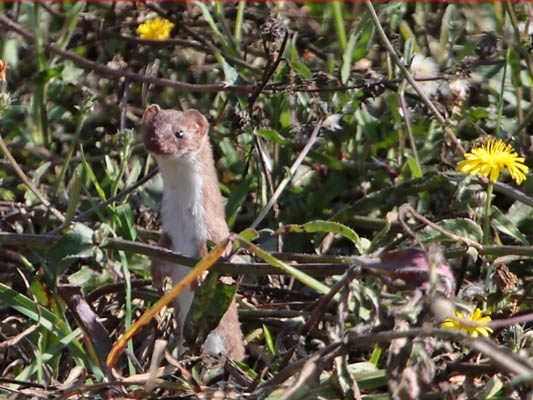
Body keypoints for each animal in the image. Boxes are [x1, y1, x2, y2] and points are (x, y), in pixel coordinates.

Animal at [138, 104, 244, 360]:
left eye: (179, 133)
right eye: (151, 127)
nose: (156, 143)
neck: (183, 217)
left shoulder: (211, 227)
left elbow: (212, 251)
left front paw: (200, 277)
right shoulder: (168, 226)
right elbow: (162, 247)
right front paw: (157, 275)